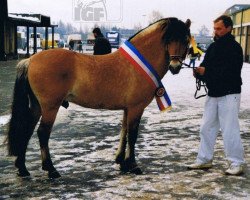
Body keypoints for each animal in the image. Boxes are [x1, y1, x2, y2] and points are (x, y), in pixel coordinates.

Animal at [6, 18, 191, 178]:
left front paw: (121, 161)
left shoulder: (127, 109)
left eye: (186, 40)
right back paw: (51, 170)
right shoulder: (136, 108)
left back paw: (22, 169)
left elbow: (124, 132)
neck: (138, 63)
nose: (175, 67)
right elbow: (132, 135)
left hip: (37, 106)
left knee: (27, 130)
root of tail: (30, 60)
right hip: (50, 107)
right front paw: (133, 165)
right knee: (42, 133)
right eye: (169, 40)